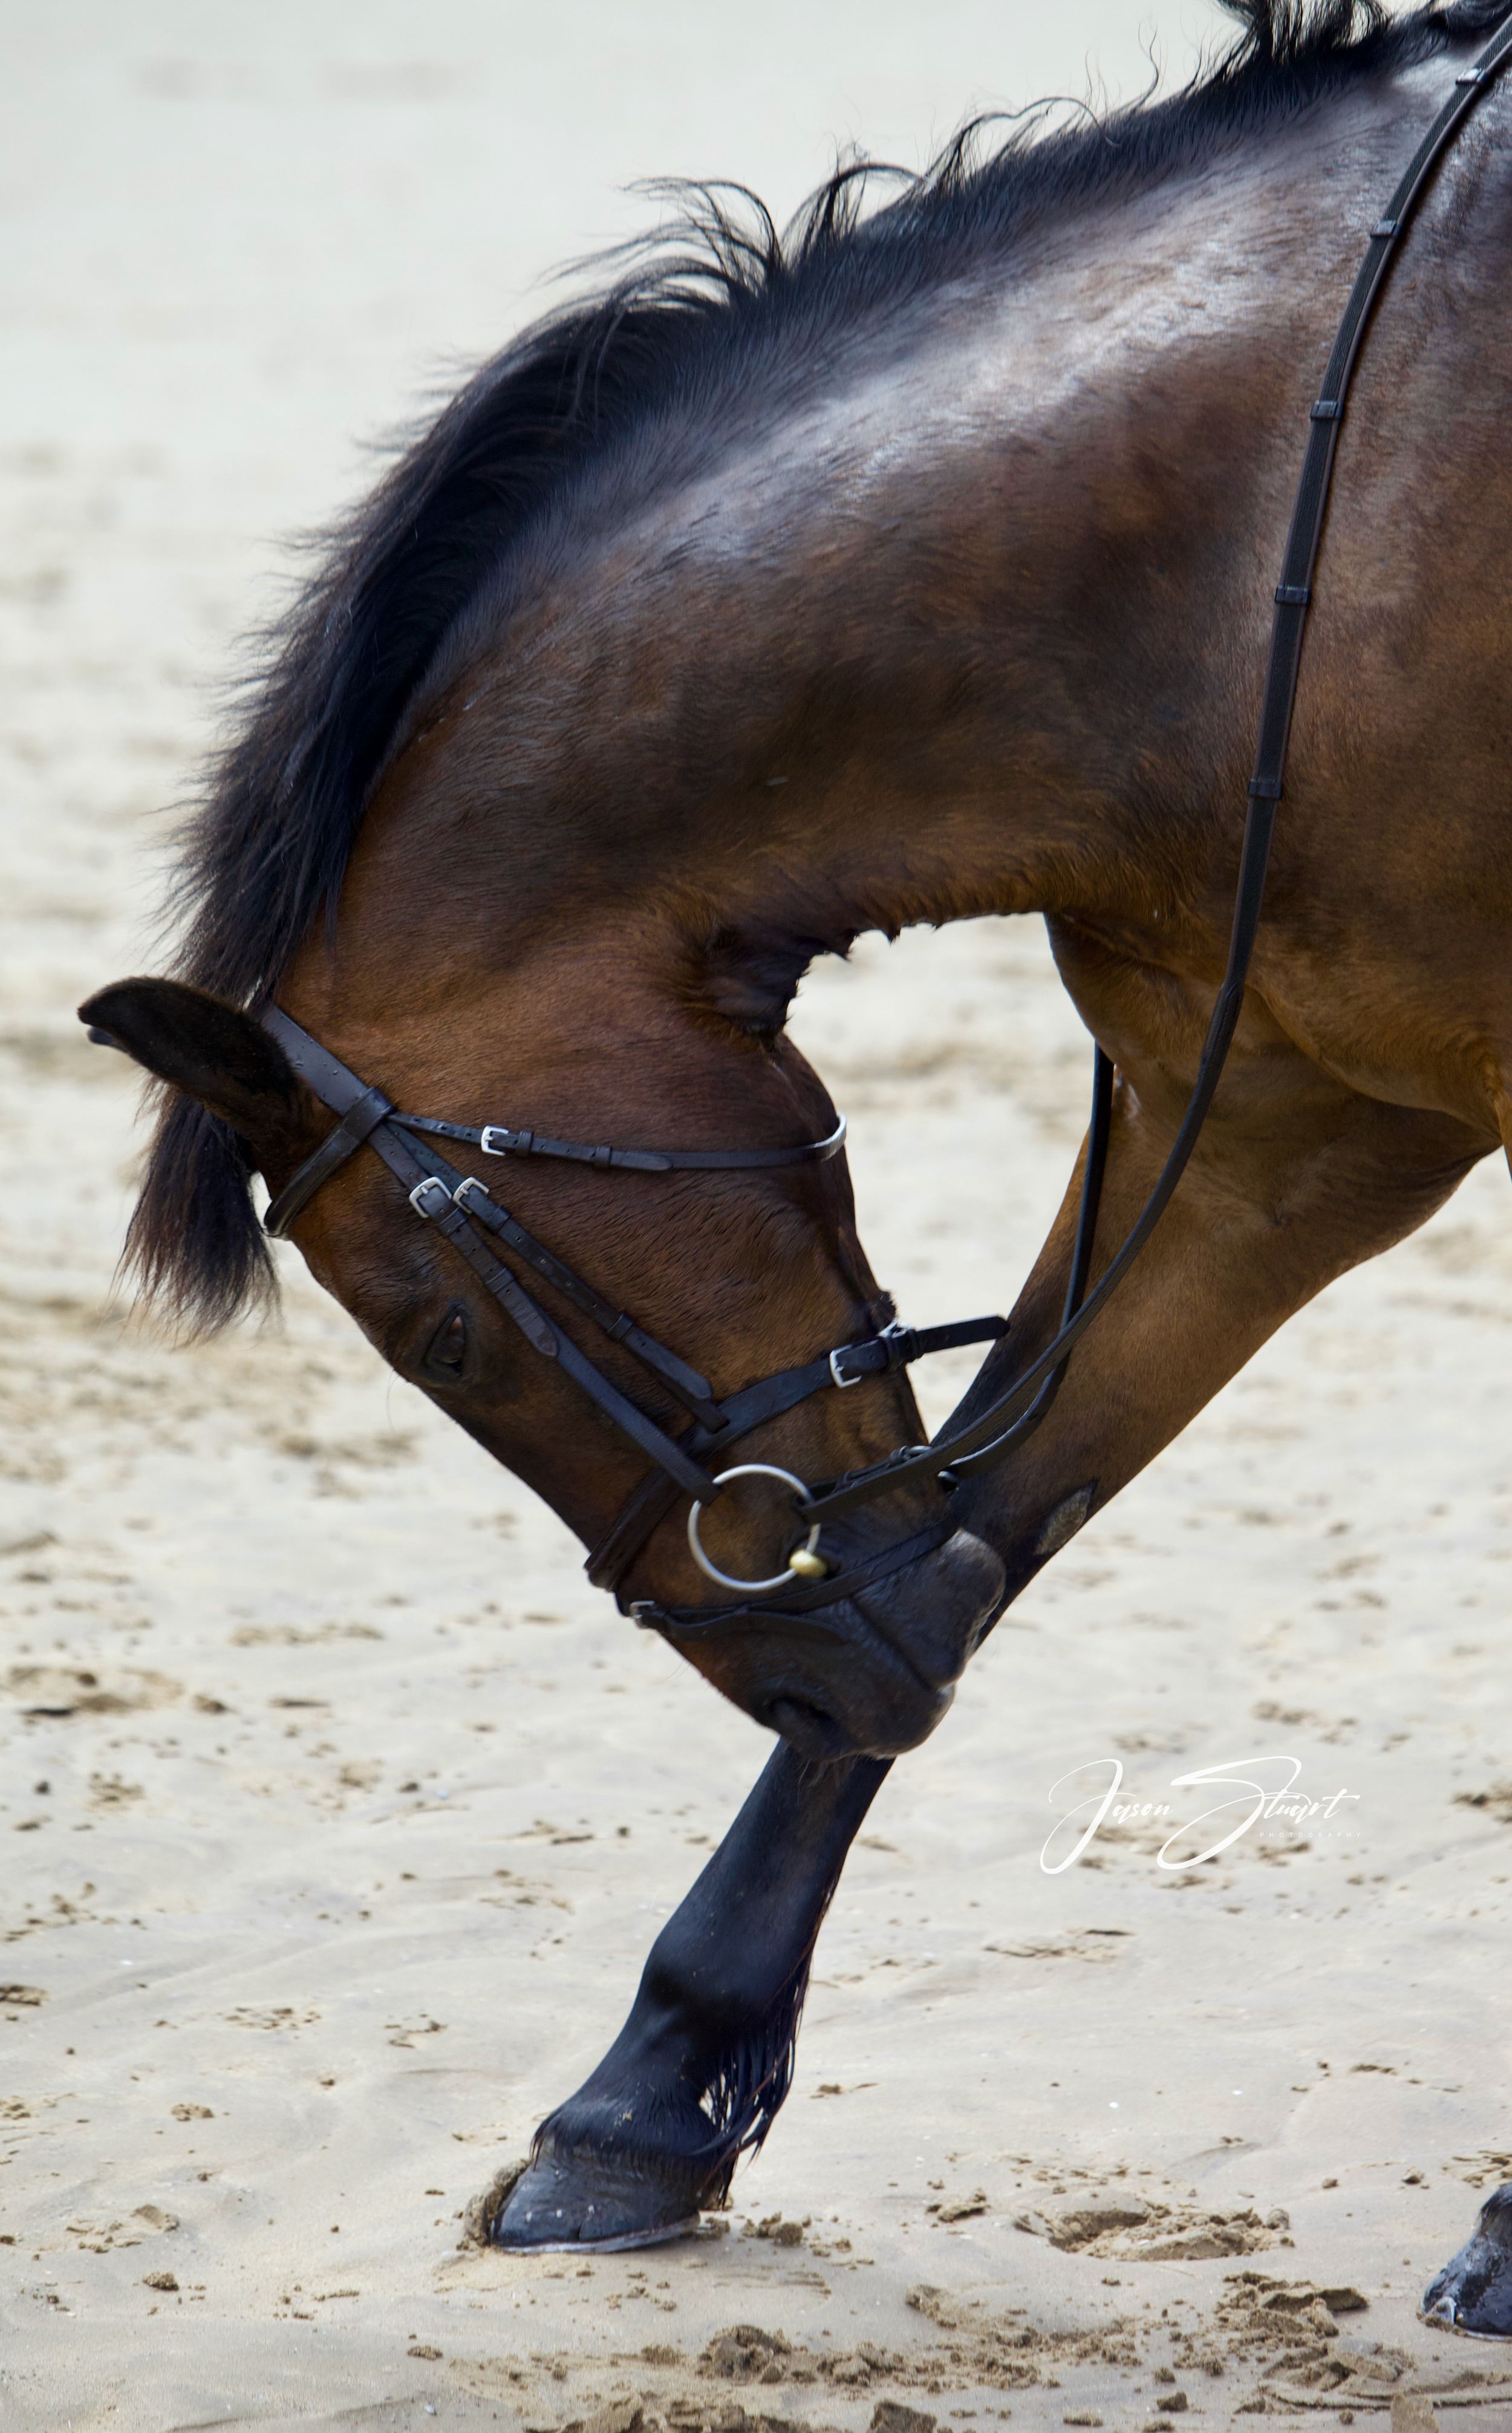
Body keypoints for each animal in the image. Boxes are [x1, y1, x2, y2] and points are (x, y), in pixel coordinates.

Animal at [79, 0, 1512, 2326]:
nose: (807, 1658)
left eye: (444, 1336)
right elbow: (1005, 1499)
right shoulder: (1287, 1104)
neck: (1263, 548)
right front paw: (640, 2104)